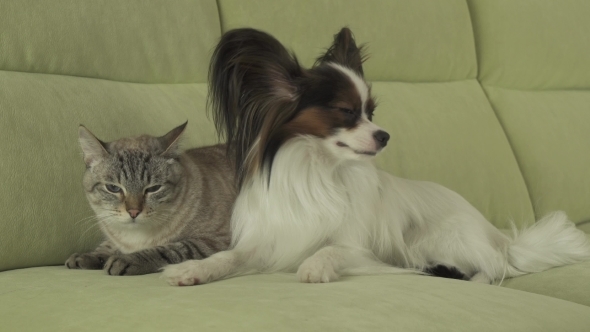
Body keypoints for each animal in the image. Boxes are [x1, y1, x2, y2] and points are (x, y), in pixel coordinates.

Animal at [66, 123, 237, 276]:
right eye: (113, 188)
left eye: (153, 189)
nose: (133, 212)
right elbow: (107, 246)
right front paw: (87, 256)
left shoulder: (215, 240)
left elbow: (170, 249)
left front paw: (125, 260)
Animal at [163, 27, 590, 286]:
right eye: (347, 111)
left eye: (373, 111)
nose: (384, 136)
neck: (318, 169)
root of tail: (497, 236)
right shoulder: (268, 240)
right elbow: (228, 256)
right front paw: (194, 268)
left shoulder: (358, 247)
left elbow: (332, 248)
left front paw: (314, 265)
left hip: (439, 239)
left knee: (493, 269)